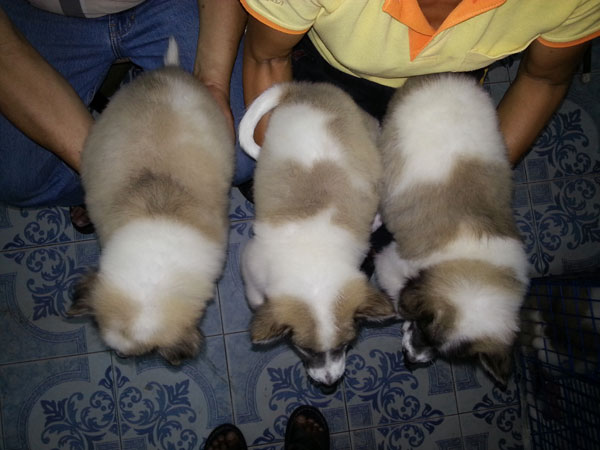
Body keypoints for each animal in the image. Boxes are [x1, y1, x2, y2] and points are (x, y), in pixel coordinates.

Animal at [238, 81, 396, 387]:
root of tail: (303, 88)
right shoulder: (250, 263)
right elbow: (255, 297)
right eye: (304, 349)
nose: (330, 382)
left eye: (346, 345)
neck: (311, 261)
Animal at [374, 74, 529, 385]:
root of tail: (441, 77)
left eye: (444, 351)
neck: (476, 264)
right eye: (423, 327)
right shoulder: (390, 264)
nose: (410, 362)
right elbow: (398, 294)